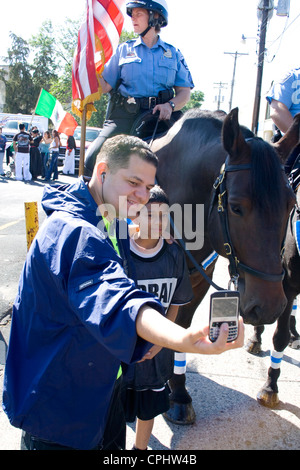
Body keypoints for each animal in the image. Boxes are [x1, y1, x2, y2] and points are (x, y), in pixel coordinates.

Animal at [151, 107, 296, 422]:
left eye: (291, 204)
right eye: (236, 207)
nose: (269, 307)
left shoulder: (196, 282)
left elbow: (180, 326)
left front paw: (178, 391)